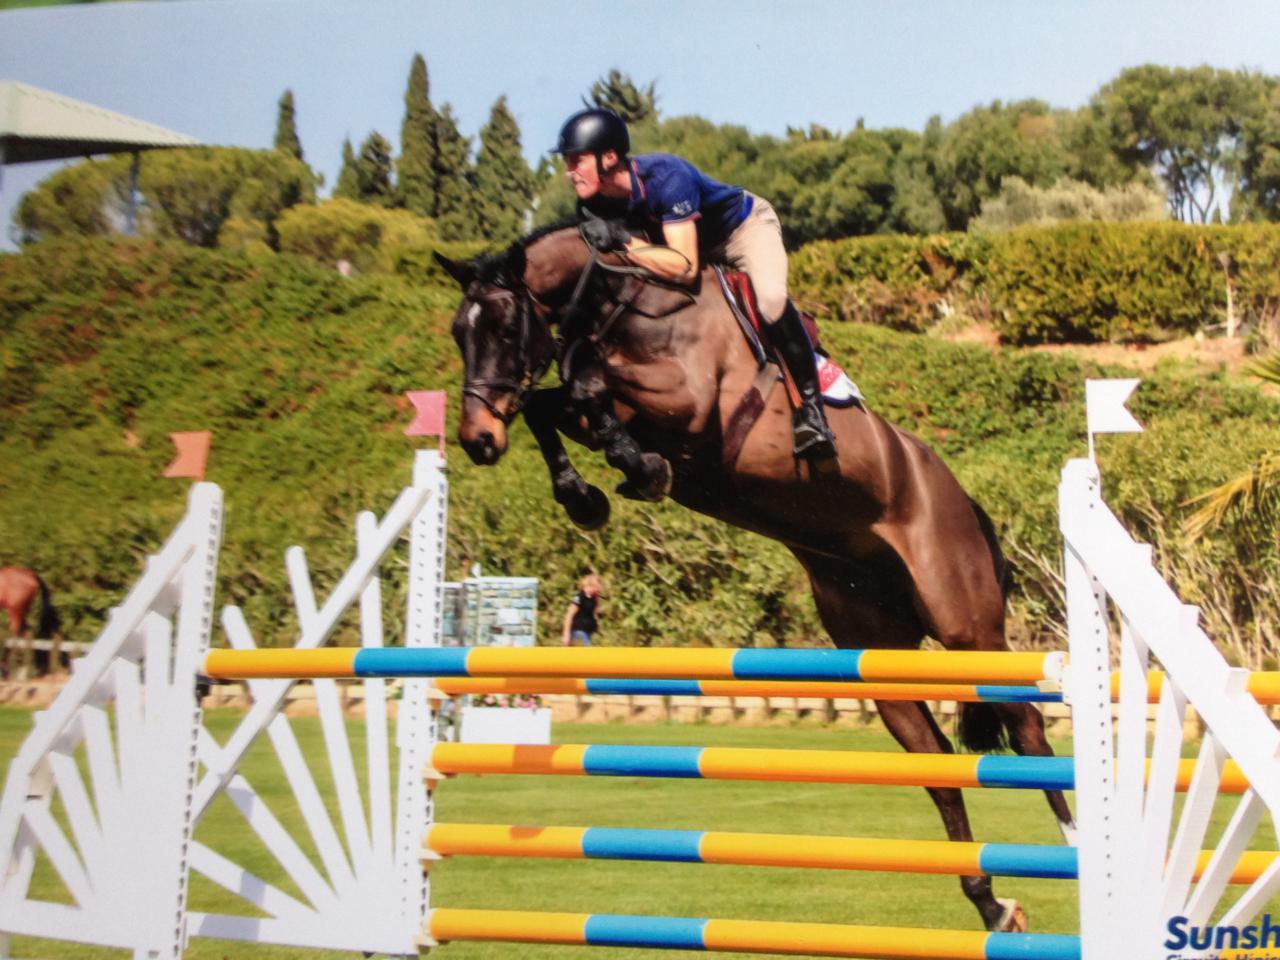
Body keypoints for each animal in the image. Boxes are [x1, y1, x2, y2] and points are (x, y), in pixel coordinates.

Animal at [434, 222, 1075, 933]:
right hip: (880, 654)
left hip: (969, 632)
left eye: (505, 326)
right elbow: (557, 402)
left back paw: (1074, 851)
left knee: (1027, 729)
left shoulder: (688, 400)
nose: (478, 439)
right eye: (460, 333)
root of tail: (962, 500)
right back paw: (989, 903)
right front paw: (587, 494)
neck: (626, 304)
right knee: (937, 764)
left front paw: (633, 467)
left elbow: (581, 387)